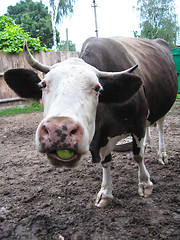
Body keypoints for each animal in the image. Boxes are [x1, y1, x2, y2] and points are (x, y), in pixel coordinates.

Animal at [3, 36, 177, 207]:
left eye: (97, 88)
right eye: (43, 84)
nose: (59, 130)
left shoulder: (138, 124)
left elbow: (138, 155)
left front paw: (145, 183)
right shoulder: (105, 136)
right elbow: (106, 161)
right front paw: (106, 192)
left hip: (163, 106)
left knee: (160, 126)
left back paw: (162, 154)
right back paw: (148, 143)